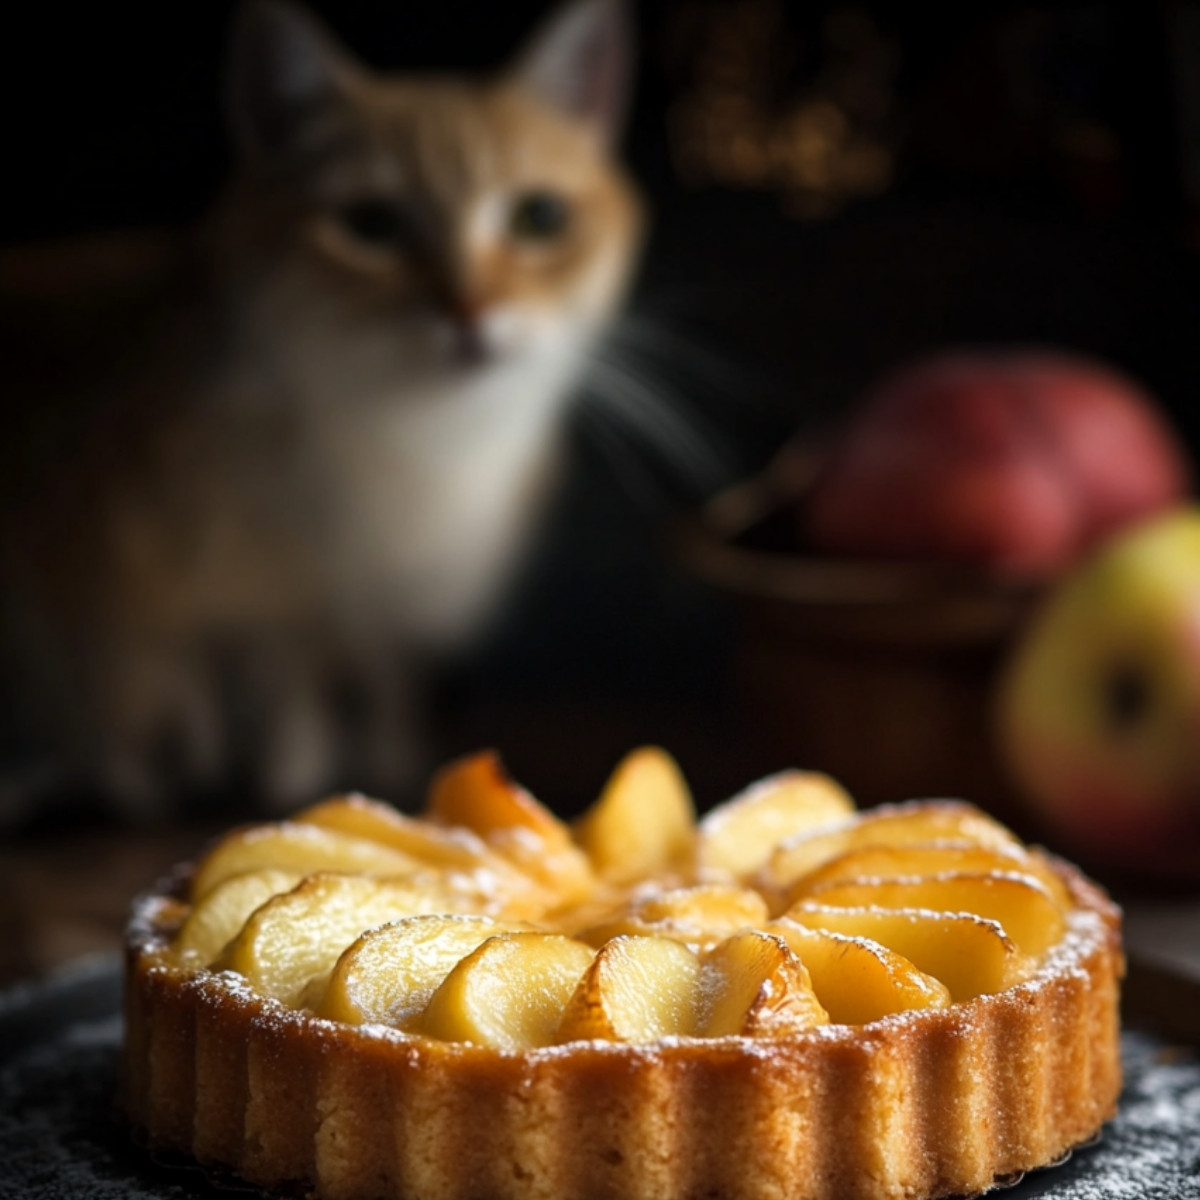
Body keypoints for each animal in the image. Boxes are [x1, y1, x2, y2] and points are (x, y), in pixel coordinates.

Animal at [0, 0, 648, 820]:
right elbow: (189, 688)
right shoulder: (114, 582)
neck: (420, 444)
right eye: (371, 225)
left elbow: (369, 684)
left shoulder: (378, 616)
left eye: (540, 217)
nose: (469, 311)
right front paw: (244, 775)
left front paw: (372, 757)